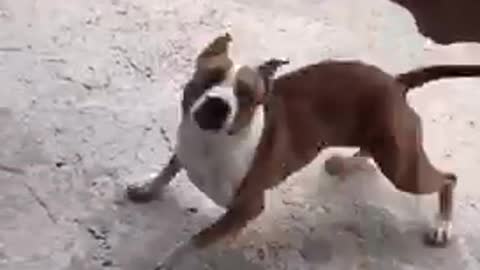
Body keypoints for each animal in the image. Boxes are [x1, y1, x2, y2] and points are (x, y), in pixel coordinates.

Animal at [126, 33, 480, 268]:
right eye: (208, 77)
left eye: (247, 97)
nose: (218, 104)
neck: (211, 144)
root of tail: (396, 82)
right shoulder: (185, 148)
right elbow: (168, 170)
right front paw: (147, 188)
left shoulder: (245, 209)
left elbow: (192, 242)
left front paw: (168, 261)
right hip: (388, 147)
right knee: (370, 151)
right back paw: (345, 163)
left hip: (401, 168)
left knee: (448, 178)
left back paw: (441, 226)